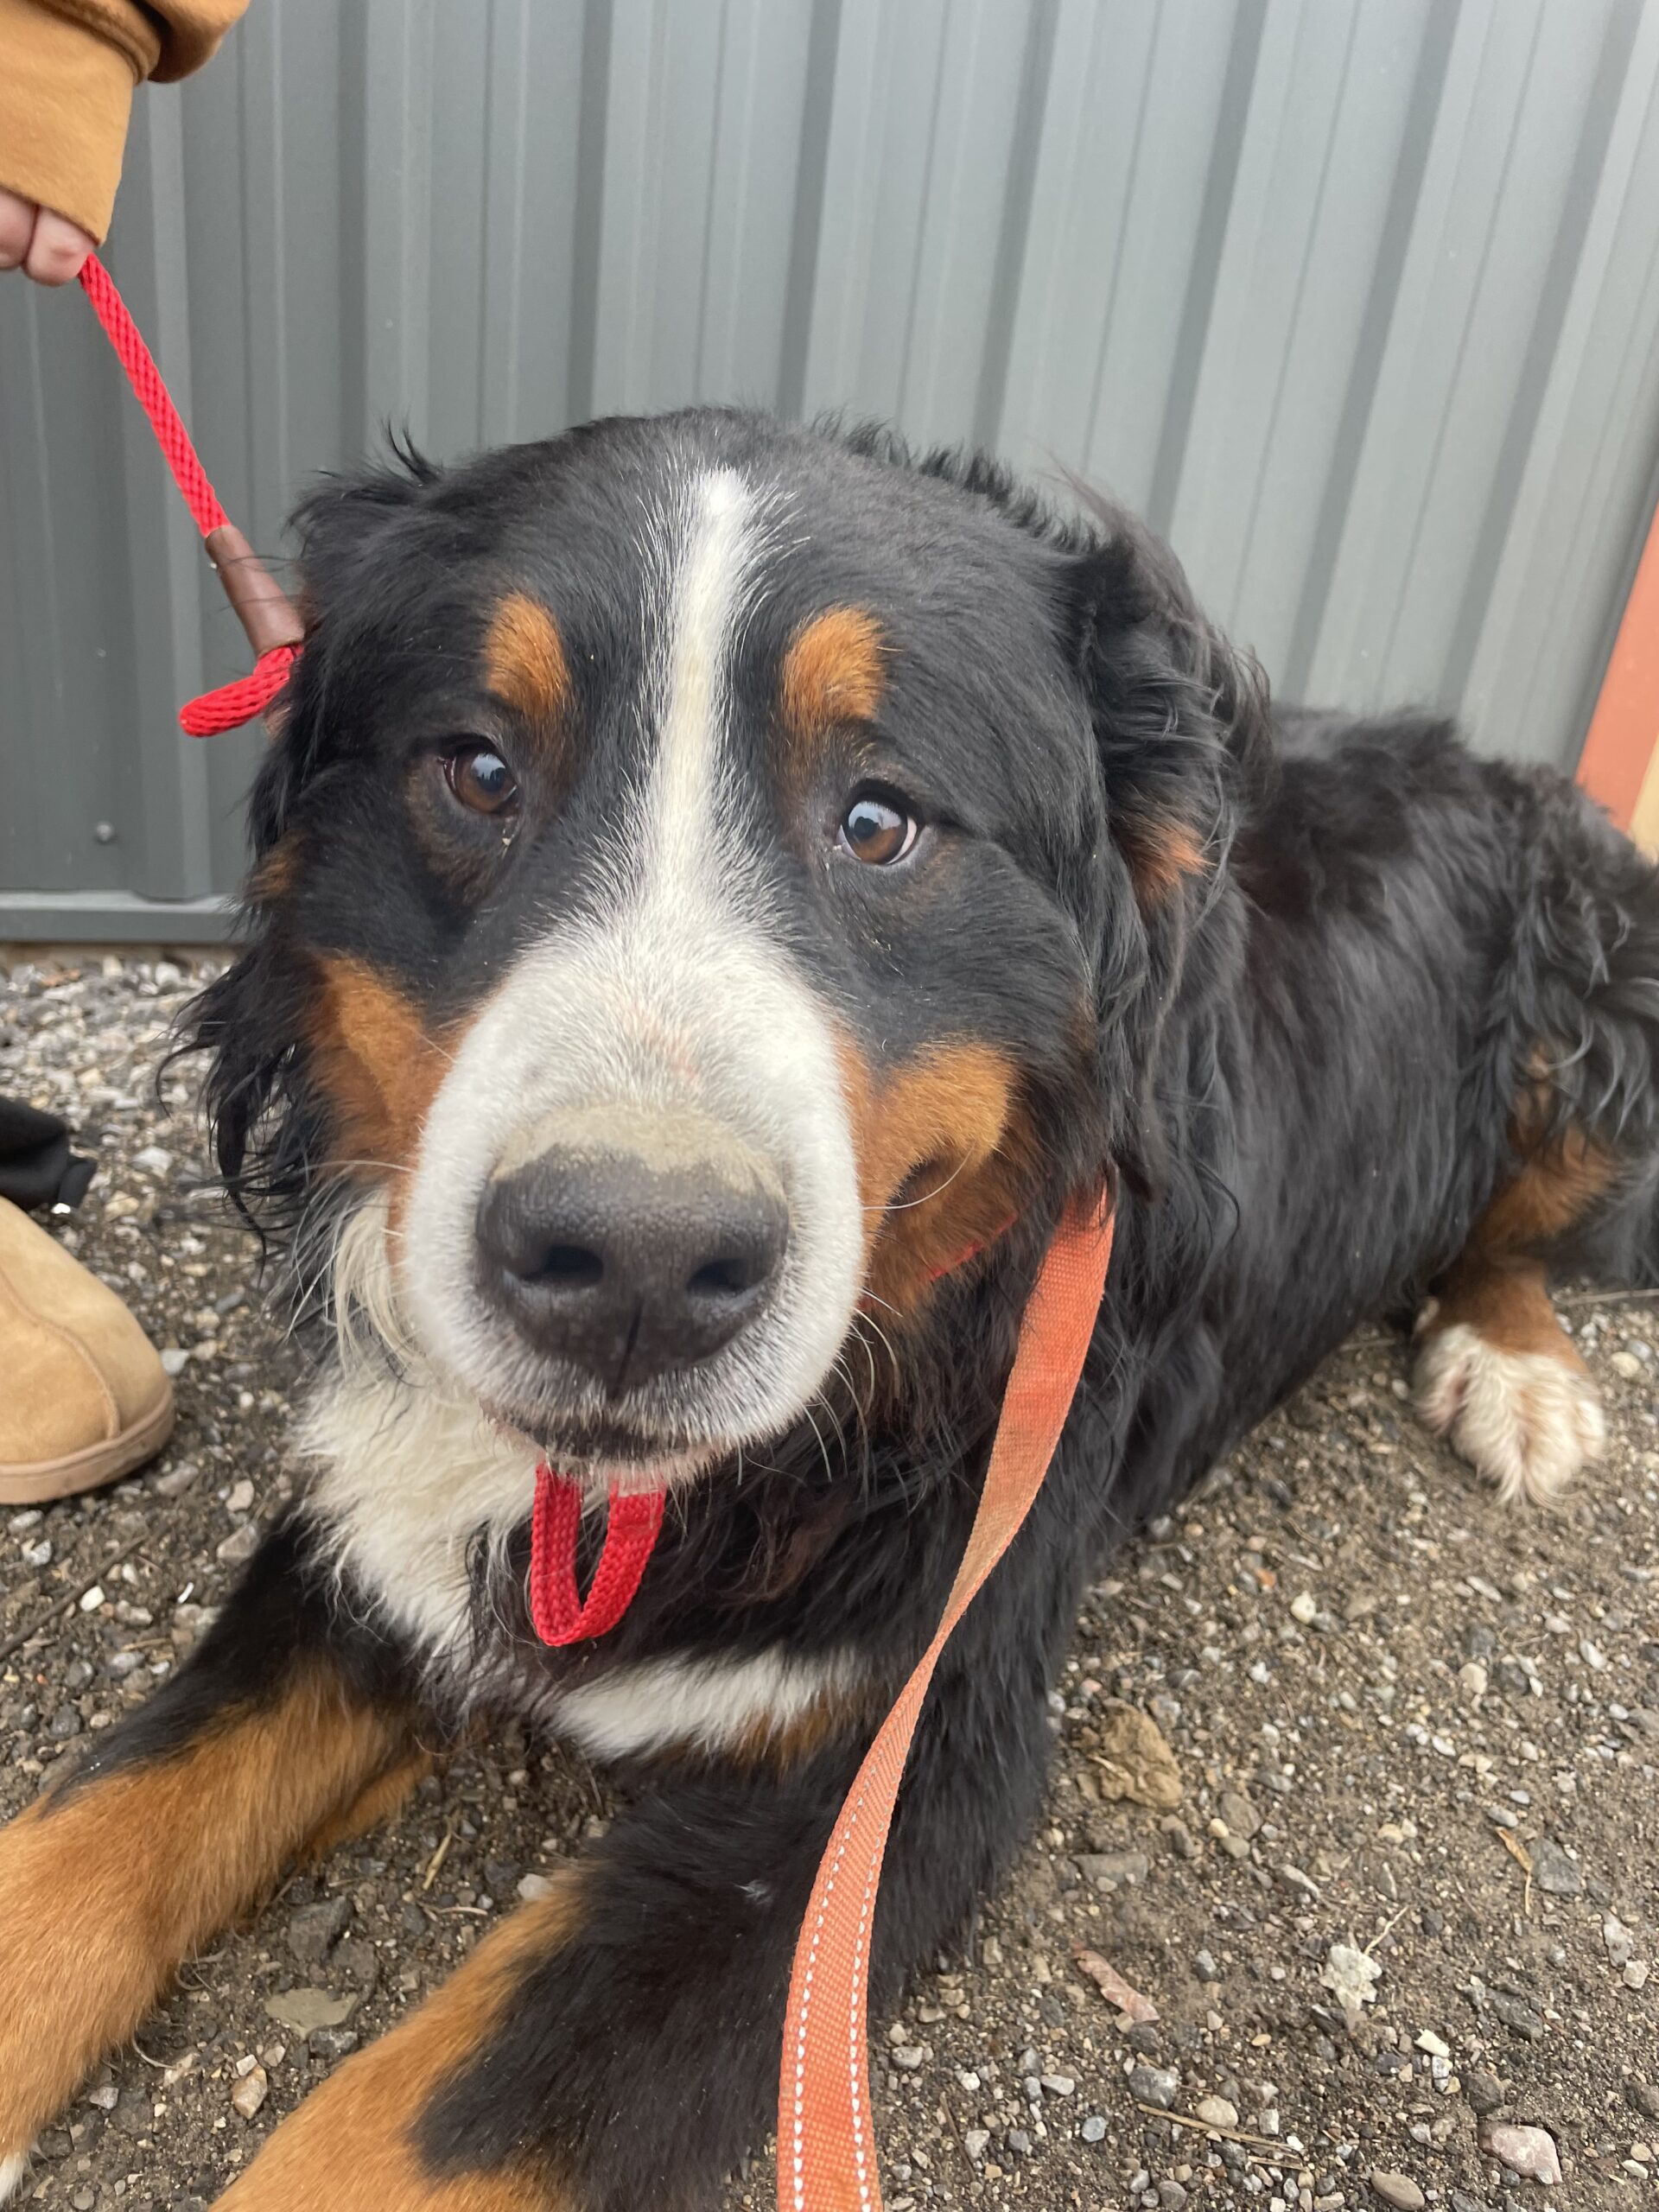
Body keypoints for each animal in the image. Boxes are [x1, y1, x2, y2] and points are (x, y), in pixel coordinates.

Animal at [1, 408, 1656, 2210]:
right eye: (478, 771)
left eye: (881, 821)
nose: (635, 1266)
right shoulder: (378, 1538)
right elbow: (102, 1814)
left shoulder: (900, 1772)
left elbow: (443, 2121)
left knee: (1528, 1236)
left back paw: (1517, 1374)